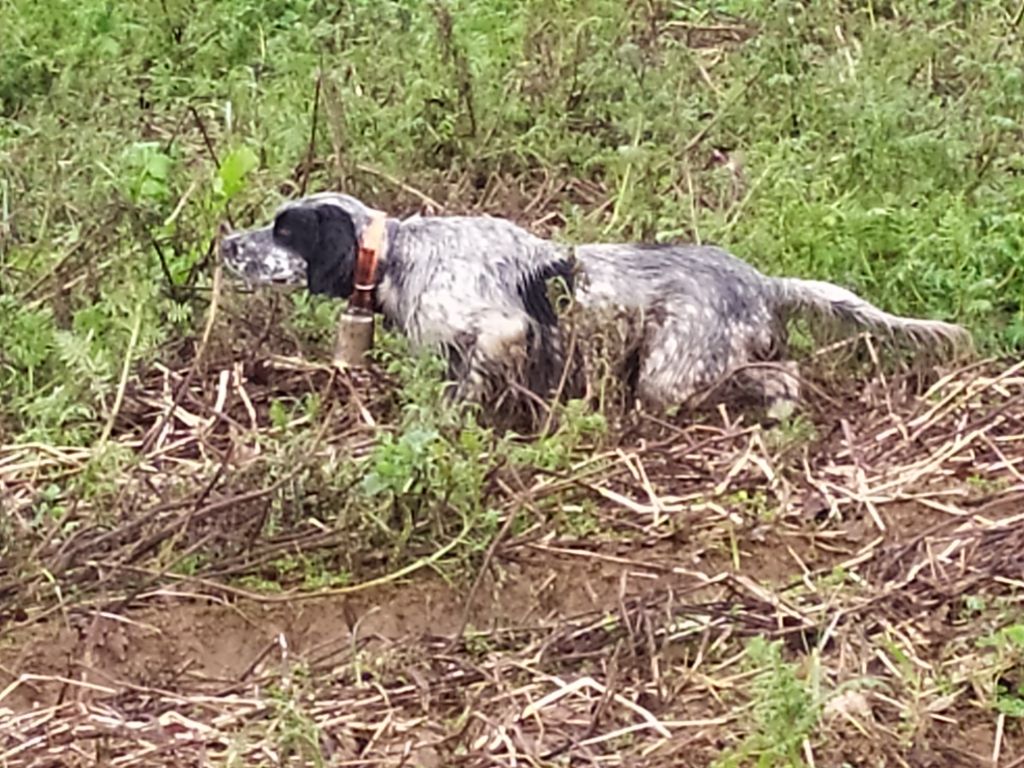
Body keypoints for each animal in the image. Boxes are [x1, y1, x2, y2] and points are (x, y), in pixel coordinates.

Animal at [220, 191, 970, 415]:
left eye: (283, 230)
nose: (226, 243)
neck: (402, 254)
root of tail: (762, 280)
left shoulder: (500, 331)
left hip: (670, 372)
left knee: (771, 375)